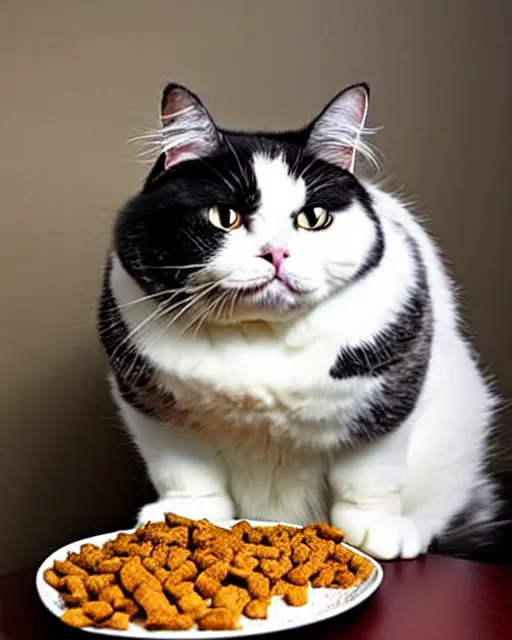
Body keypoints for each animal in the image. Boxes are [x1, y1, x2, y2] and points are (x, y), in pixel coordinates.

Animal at [97, 81, 500, 560]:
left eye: (313, 218)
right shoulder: (149, 402)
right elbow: (183, 468)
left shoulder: (395, 384)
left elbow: (370, 471)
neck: (260, 335)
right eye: (225, 217)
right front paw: (187, 515)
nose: (276, 253)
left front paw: (375, 528)